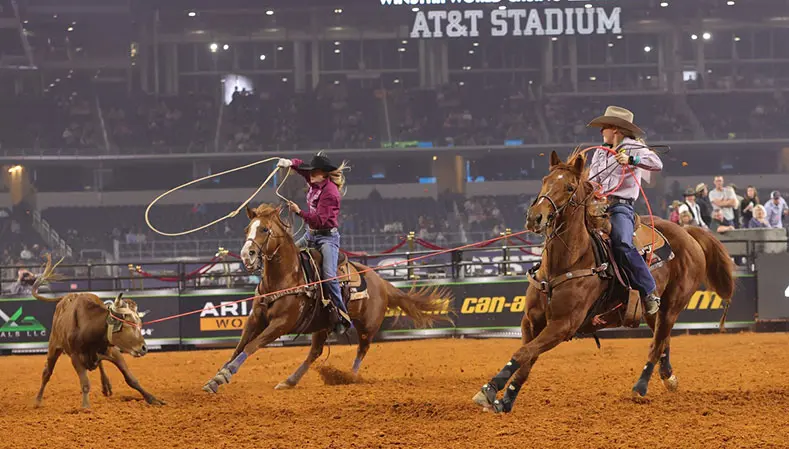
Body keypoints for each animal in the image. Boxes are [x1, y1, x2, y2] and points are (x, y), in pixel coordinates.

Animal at [32, 254, 165, 408]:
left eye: (139, 324)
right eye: (127, 324)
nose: (144, 348)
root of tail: (66, 297)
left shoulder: (113, 351)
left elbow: (131, 379)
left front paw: (152, 399)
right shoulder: (75, 357)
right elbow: (85, 383)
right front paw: (85, 407)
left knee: (99, 363)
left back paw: (106, 385)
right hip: (54, 345)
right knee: (47, 372)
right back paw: (37, 400)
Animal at [202, 203, 450, 392]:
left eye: (264, 229)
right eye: (247, 229)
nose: (247, 255)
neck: (287, 277)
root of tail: (382, 282)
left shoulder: (281, 323)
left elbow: (252, 345)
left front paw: (225, 375)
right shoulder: (255, 318)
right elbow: (239, 346)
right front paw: (216, 378)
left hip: (367, 327)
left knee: (361, 349)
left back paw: (349, 377)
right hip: (321, 325)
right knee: (315, 352)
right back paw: (290, 381)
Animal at [470, 151, 736, 412]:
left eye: (569, 187)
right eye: (545, 180)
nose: (535, 217)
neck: (567, 263)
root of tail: (687, 233)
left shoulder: (563, 325)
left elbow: (523, 352)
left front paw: (490, 390)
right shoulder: (531, 321)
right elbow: (527, 358)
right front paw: (505, 399)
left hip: (673, 305)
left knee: (657, 344)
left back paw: (640, 387)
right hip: (653, 310)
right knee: (662, 340)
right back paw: (668, 376)